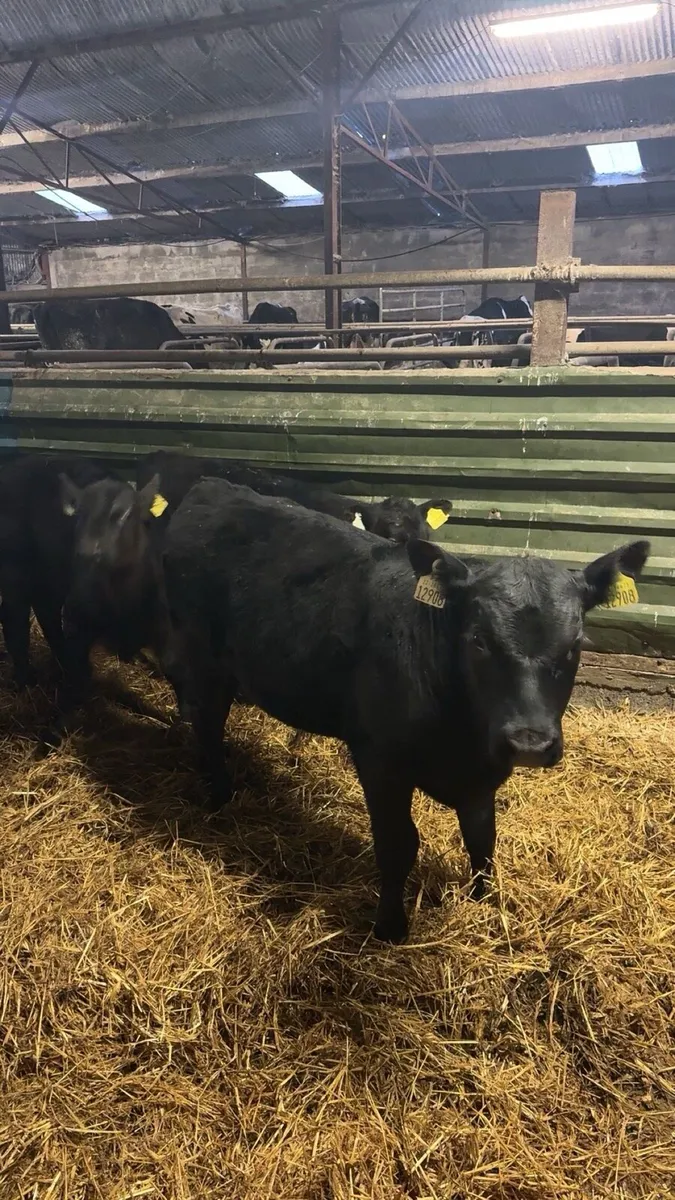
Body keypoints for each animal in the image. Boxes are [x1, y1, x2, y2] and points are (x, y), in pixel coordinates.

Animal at [163, 477, 649, 941]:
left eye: (575, 644)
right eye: (478, 639)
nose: (529, 743)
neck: (461, 736)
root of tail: (213, 487)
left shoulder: (481, 776)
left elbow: (482, 838)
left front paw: (485, 903)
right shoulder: (379, 759)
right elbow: (398, 845)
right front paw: (390, 928)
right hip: (201, 656)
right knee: (206, 721)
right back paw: (219, 795)